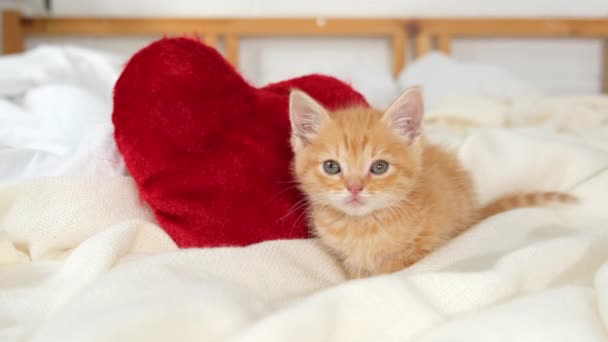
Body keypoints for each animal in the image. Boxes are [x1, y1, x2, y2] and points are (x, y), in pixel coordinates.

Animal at [288, 87, 576, 280]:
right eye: (331, 167)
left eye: (379, 167)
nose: (355, 188)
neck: (362, 226)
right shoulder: (347, 259)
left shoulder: (426, 243)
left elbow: (393, 268)